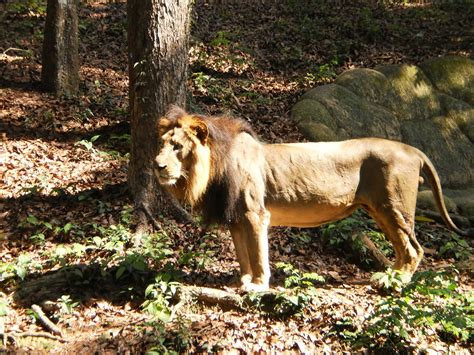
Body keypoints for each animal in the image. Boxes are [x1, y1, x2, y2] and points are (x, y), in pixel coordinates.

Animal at [154, 106, 472, 292]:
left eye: (178, 146)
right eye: (162, 144)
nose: (157, 165)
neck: (212, 168)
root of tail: (413, 150)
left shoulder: (255, 214)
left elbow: (257, 254)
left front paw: (257, 285)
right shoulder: (235, 217)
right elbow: (243, 254)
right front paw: (242, 279)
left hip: (395, 207)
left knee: (415, 249)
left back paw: (396, 282)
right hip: (380, 210)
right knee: (403, 247)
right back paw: (387, 275)